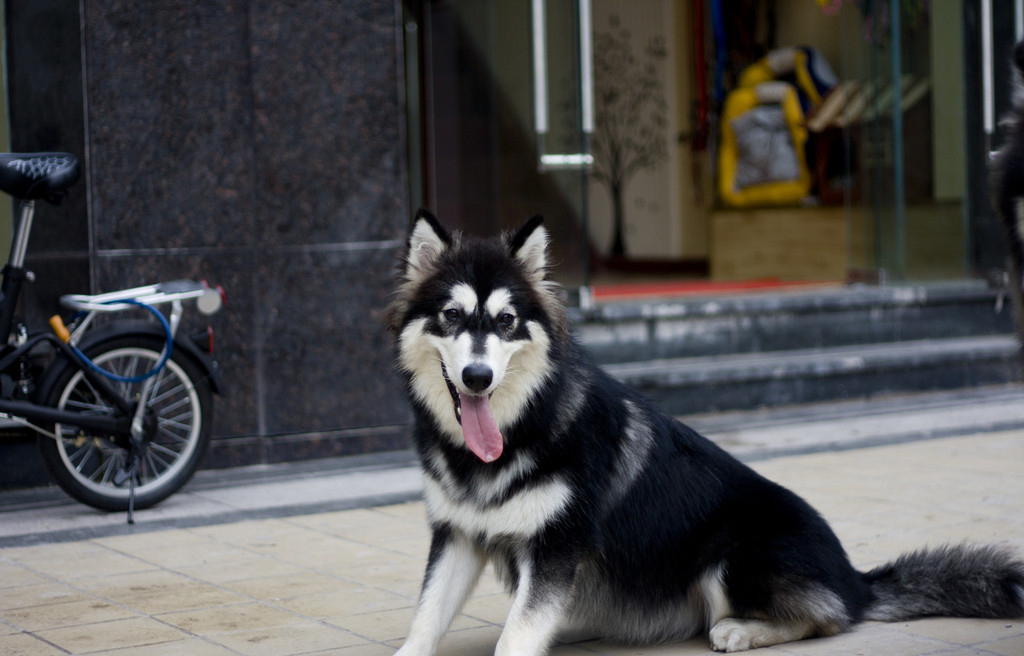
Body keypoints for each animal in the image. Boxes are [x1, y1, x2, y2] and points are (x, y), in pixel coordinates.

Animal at [385, 210, 1024, 654]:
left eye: (506, 322)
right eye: (451, 316)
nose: (478, 376)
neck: (521, 424)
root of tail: (856, 579)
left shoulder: (556, 548)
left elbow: (517, 633)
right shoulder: (457, 535)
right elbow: (425, 618)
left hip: (730, 552)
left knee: (828, 617)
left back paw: (744, 630)